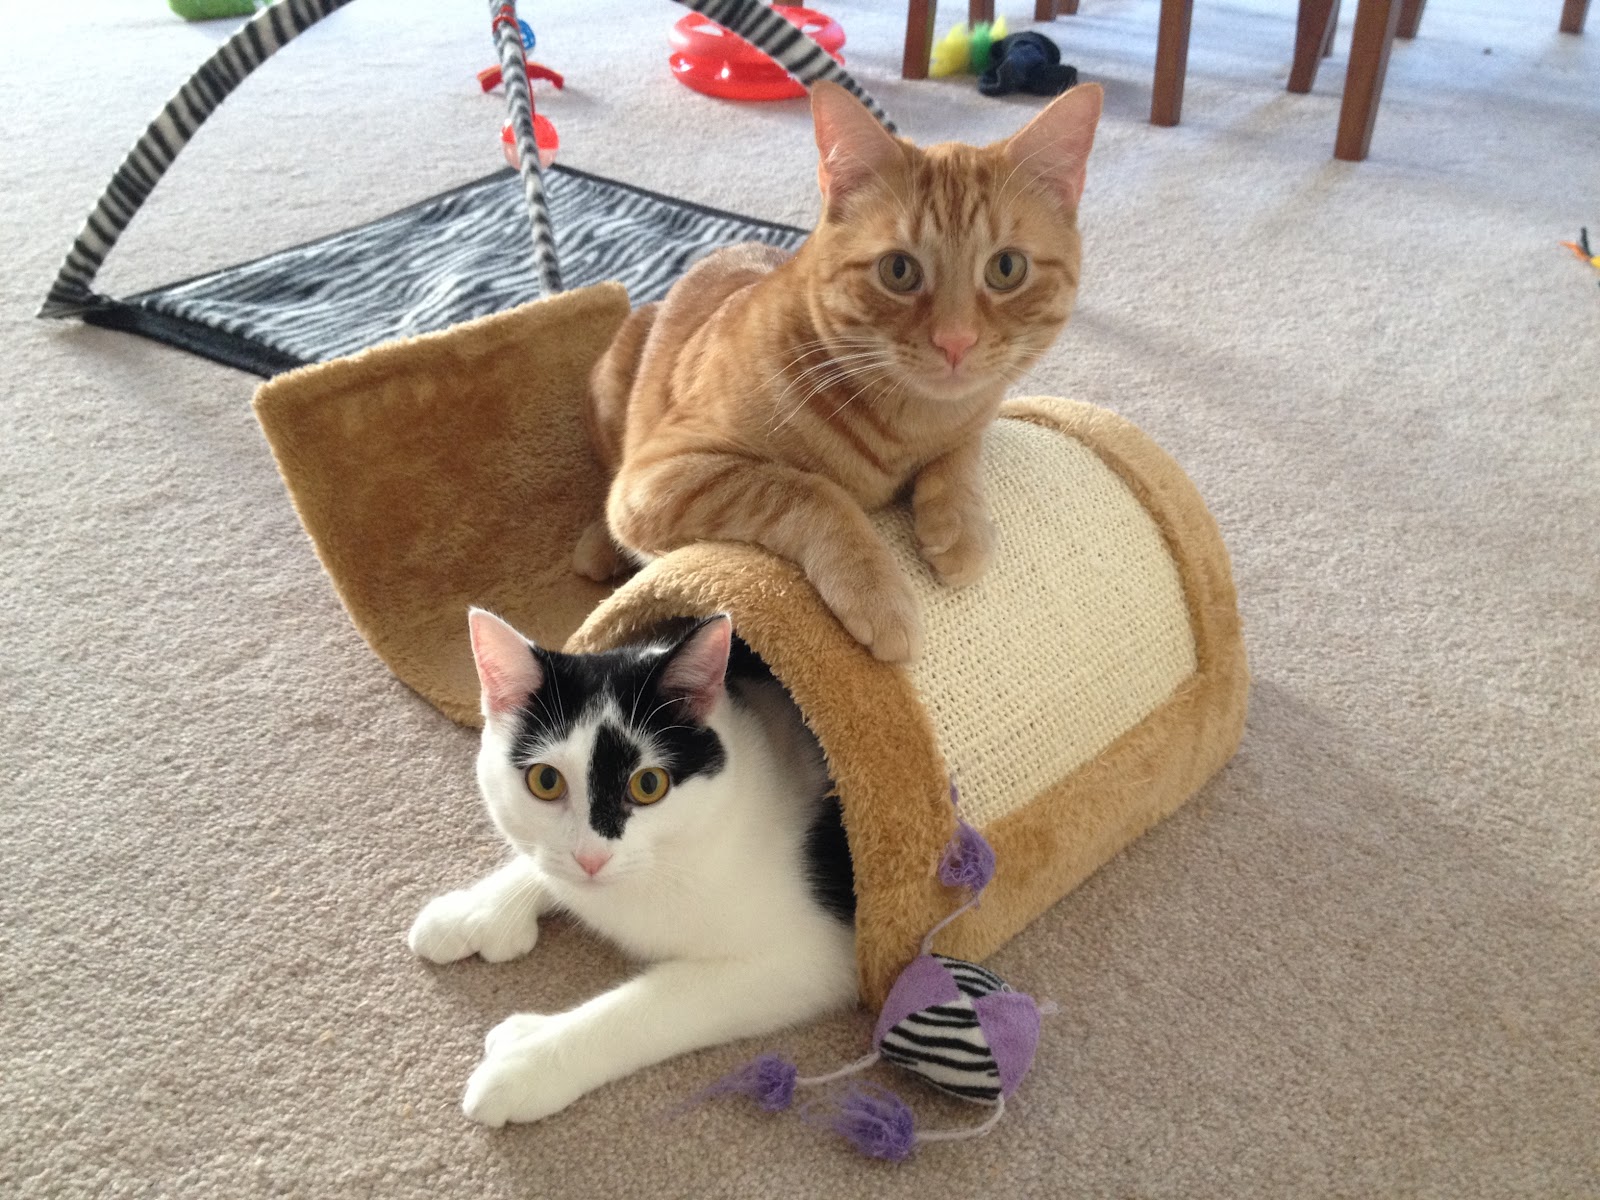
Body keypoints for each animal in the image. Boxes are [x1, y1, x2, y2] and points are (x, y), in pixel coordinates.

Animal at [407, 609, 857, 1126]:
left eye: (648, 785)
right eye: (545, 781)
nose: (592, 858)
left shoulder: (813, 957)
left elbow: (655, 1004)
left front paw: (528, 1061)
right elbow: (543, 865)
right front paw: (475, 912)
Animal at [575, 80, 1103, 664]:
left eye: (1006, 268)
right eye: (899, 270)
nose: (955, 341)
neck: (908, 424)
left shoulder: (974, 419)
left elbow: (962, 454)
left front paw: (960, 523)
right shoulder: (657, 477)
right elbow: (808, 490)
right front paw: (877, 589)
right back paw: (598, 548)